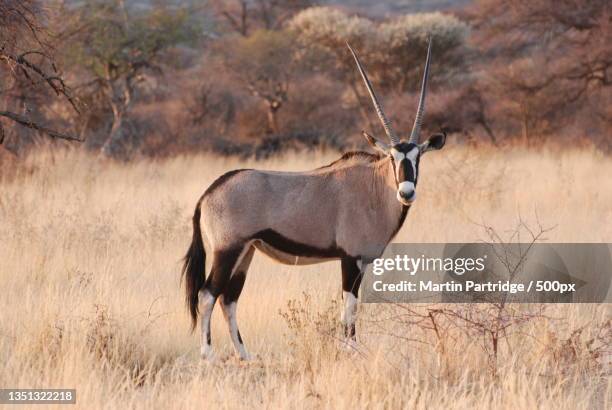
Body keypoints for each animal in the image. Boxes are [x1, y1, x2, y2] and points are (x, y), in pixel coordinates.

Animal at [182, 40, 444, 358]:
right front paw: (350, 351)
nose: (406, 192)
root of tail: (209, 193)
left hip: (246, 252)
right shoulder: (351, 258)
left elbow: (350, 308)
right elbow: (350, 307)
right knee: (208, 294)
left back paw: (244, 355)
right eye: (392, 157)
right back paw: (208, 355)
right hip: (227, 250)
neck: (374, 187)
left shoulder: (361, 262)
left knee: (228, 298)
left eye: (418, 157)